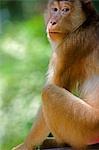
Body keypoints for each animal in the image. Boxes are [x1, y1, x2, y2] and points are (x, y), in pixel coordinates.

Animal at [12, 0, 99, 149]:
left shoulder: (71, 45)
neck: (86, 22)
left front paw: (26, 145)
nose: (52, 22)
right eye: (54, 9)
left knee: (49, 93)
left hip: (88, 124)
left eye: (65, 10)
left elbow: (56, 84)